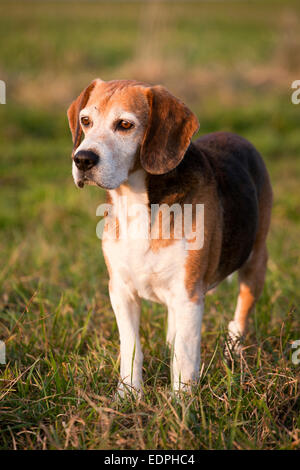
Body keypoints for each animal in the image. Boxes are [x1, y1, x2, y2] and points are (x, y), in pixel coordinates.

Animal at [67, 79, 274, 394]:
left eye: (125, 125)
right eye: (86, 121)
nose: (82, 159)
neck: (136, 204)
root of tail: (237, 136)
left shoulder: (189, 294)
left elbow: (185, 357)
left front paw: (182, 401)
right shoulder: (120, 290)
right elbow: (132, 348)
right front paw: (129, 394)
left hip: (255, 262)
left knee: (240, 316)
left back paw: (233, 351)